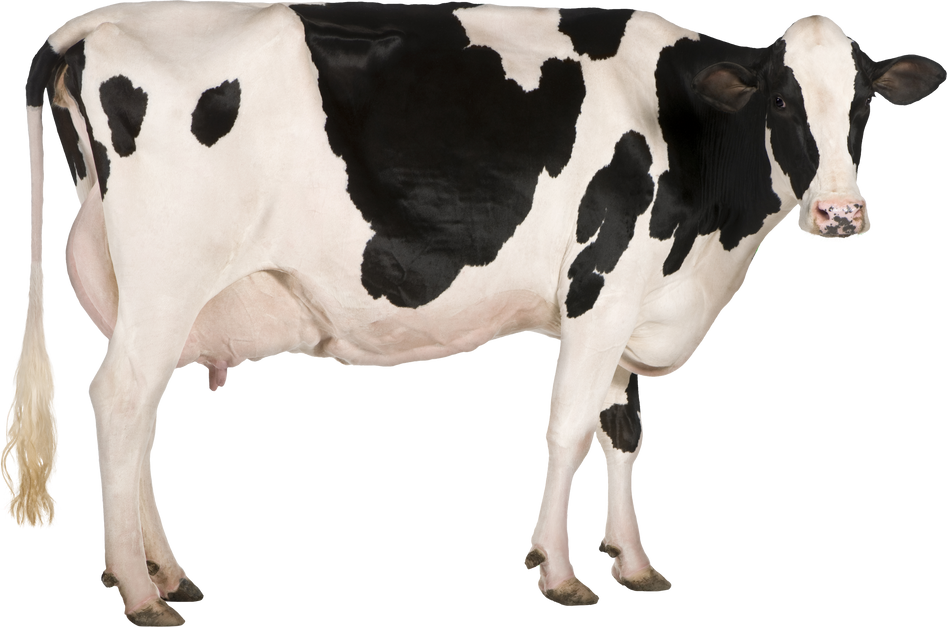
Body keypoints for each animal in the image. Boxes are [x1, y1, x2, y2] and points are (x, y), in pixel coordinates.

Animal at [4, 1, 943, 623]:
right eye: (781, 100)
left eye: (863, 104)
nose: (841, 213)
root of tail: (103, 21)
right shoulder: (598, 283)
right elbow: (568, 427)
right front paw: (558, 569)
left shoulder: (629, 305)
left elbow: (624, 431)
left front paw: (634, 560)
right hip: (166, 276)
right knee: (120, 399)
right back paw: (136, 588)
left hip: (143, 293)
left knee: (141, 415)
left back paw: (165, 570)